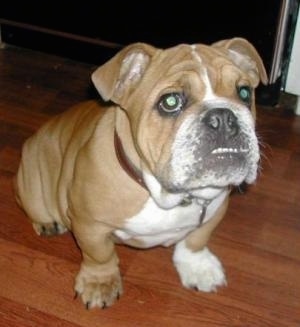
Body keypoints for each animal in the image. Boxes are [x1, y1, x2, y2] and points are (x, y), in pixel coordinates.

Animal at [14, 38, 268, 310]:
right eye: (170, 102)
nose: (222, 117)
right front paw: (99, 283)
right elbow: (99, 255)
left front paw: (198, 267)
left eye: (245, 93)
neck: (168, 194)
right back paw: (47, 223)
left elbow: (197, 239)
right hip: (34, 187)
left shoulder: (215, 210)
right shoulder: (89, 224)